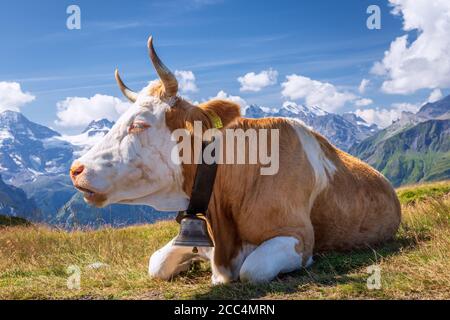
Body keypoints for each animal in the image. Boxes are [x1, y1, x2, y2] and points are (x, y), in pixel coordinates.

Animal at [70, 36, 400, 284]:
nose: (75, 169)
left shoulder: (299, 236)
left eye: (139, 124)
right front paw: (189, 263)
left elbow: (252, 269)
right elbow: (156, 263)